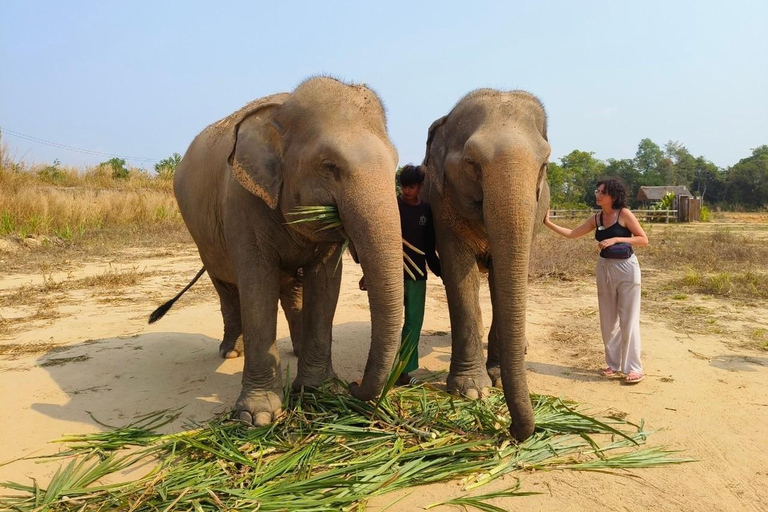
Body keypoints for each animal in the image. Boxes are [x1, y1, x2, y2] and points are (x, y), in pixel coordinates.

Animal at [154, 77, 402, 428]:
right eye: (330, 166)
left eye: (395, 164)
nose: (353, 386)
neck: (282, 112)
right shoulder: (242, 201)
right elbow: (258, 286)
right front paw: (256, 417)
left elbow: (325, 284)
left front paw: (317, 393)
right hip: (202, 237)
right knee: (226, 288)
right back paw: (231, 351)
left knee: (293, 289)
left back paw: (296, 350)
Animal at [420, 88, 552, 440]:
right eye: (471, 163)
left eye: (545, 163)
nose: (513, 430)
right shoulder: (441, 203)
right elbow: (459, 275)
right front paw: (471, 391)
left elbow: (502, 278)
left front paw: (497, 376)